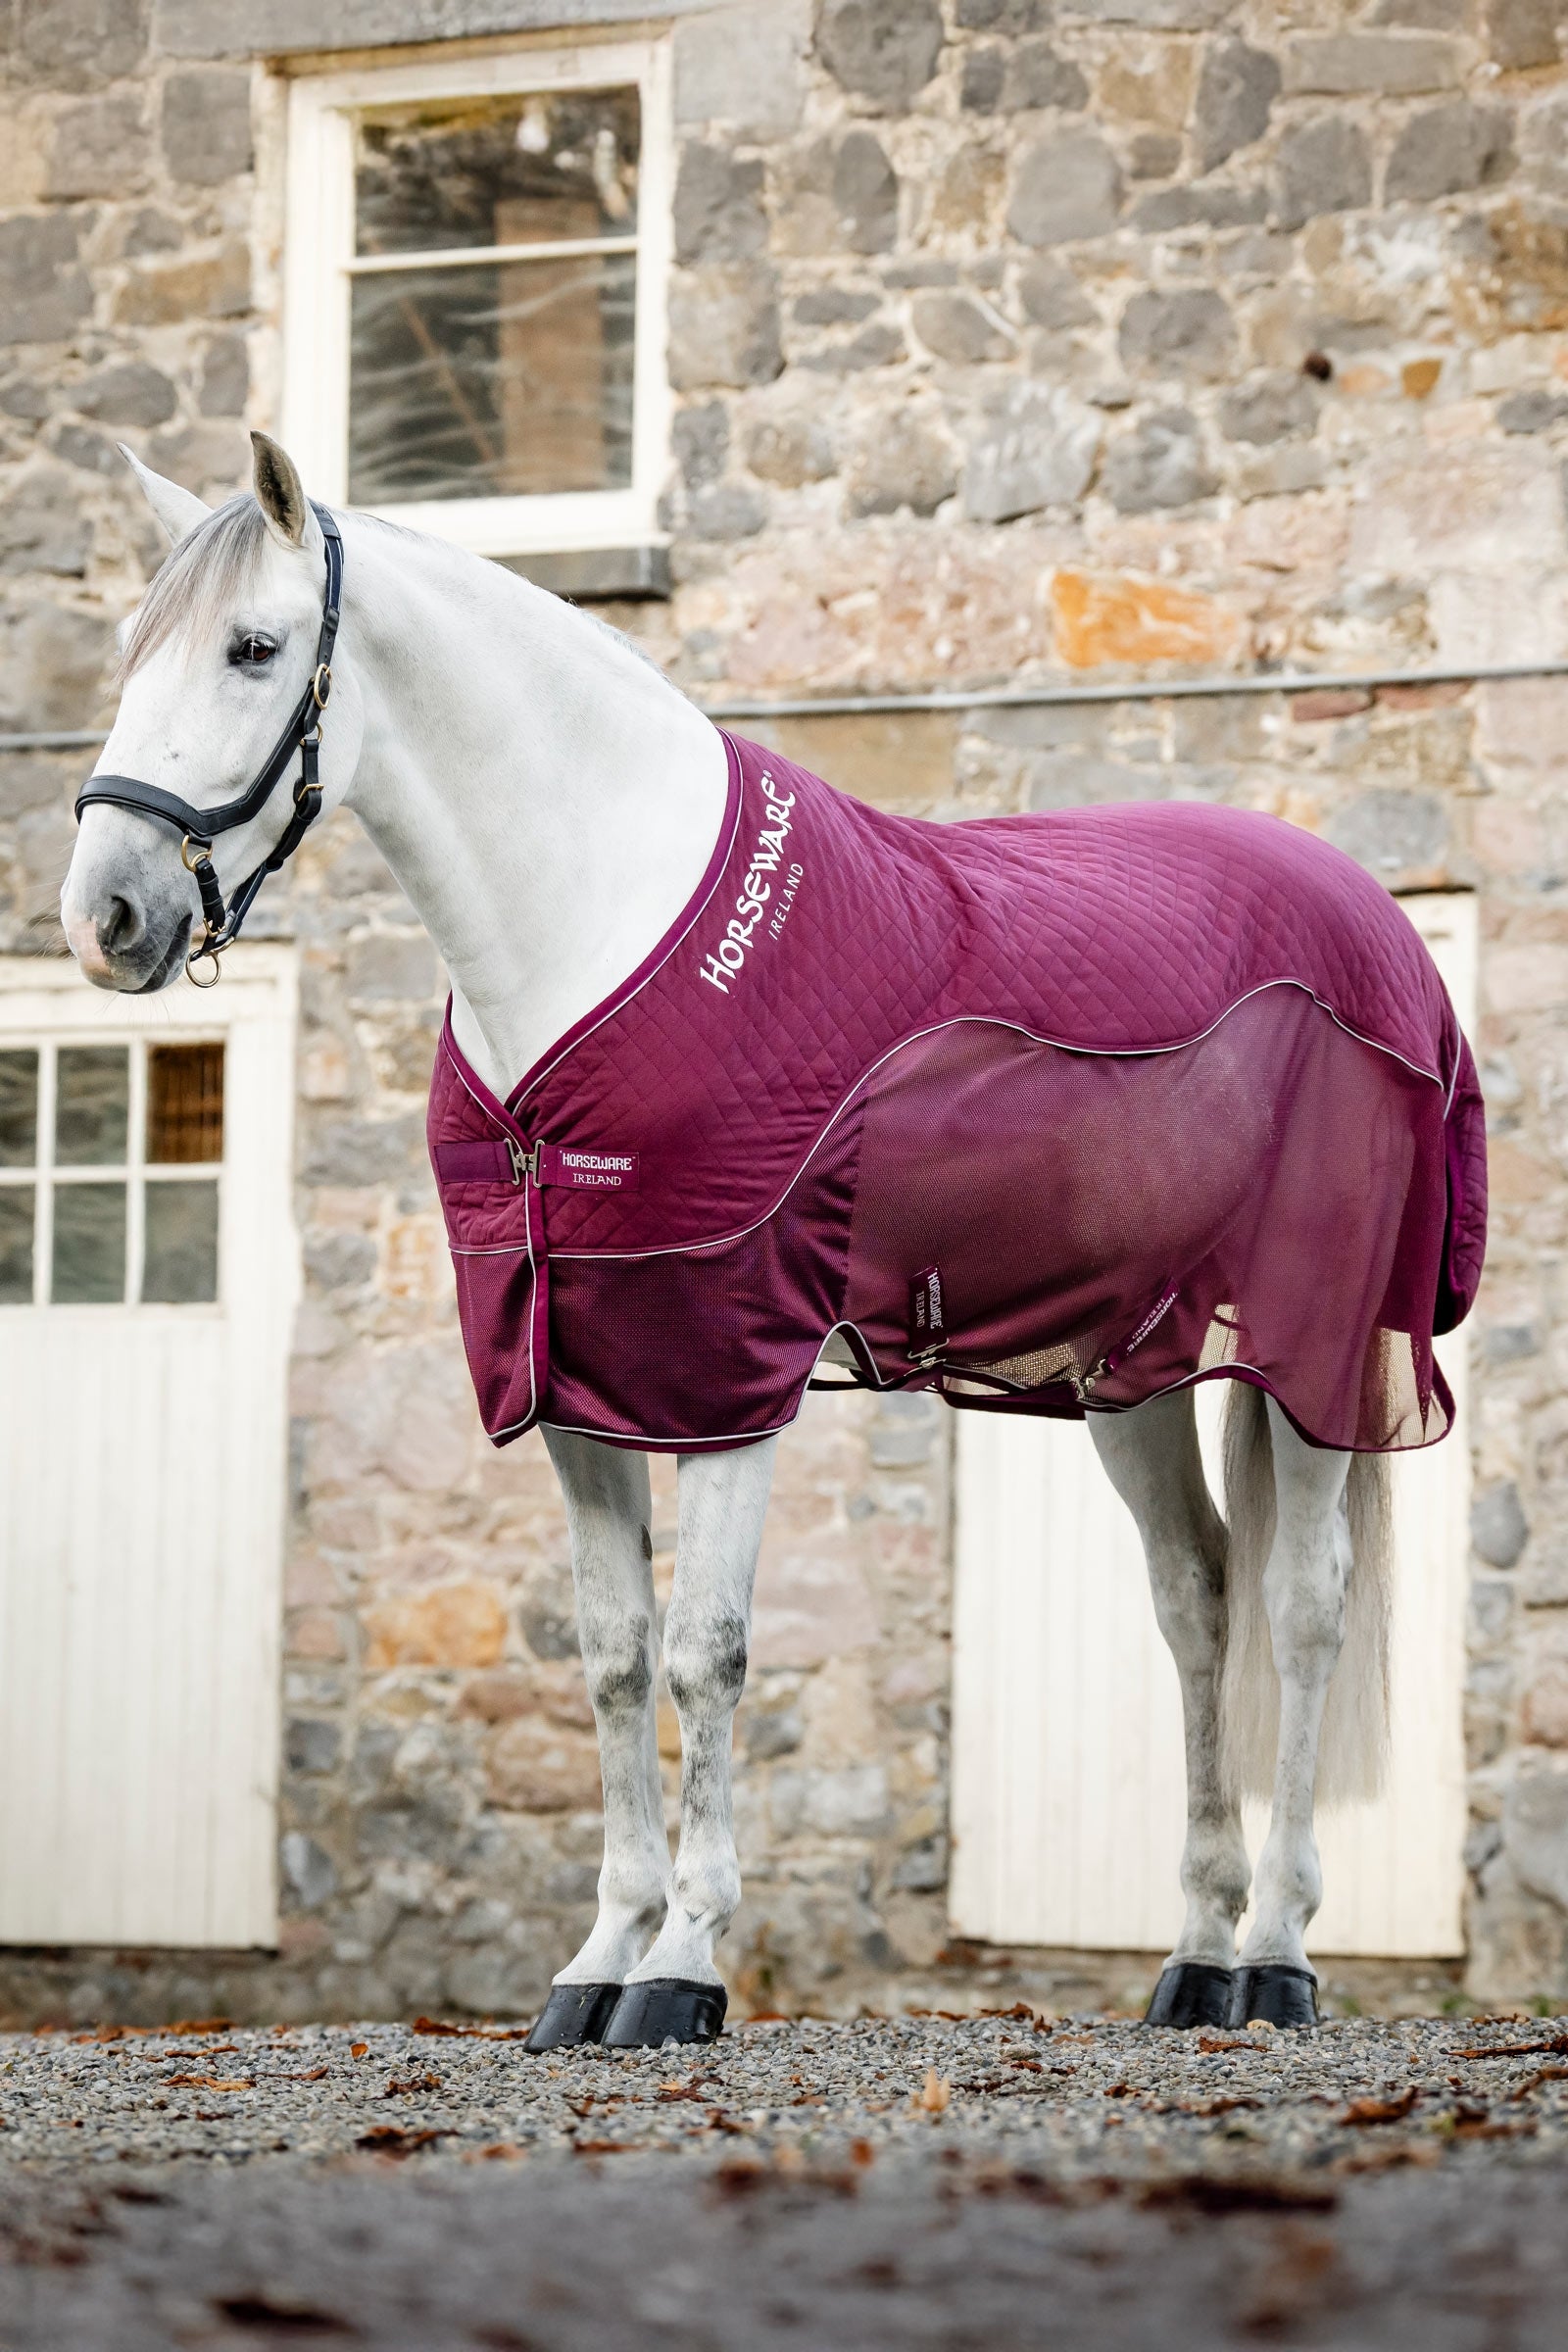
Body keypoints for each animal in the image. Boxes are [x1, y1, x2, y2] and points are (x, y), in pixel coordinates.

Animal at [61, 433, 1485, 2048]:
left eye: (253, 646)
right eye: (129, 652)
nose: (106, 917)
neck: (599, 926)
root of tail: (1372, 922)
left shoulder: (723, 1364)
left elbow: (707, 1651)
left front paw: (683, 1966)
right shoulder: (577, 1374)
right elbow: (615, 1659)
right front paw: (596, 1961)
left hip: (1314, 1349)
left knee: (1301, 1613)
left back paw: (1283, 1954)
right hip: (1133, 1366)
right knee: (1200, 1600)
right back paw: (1194, 1957)